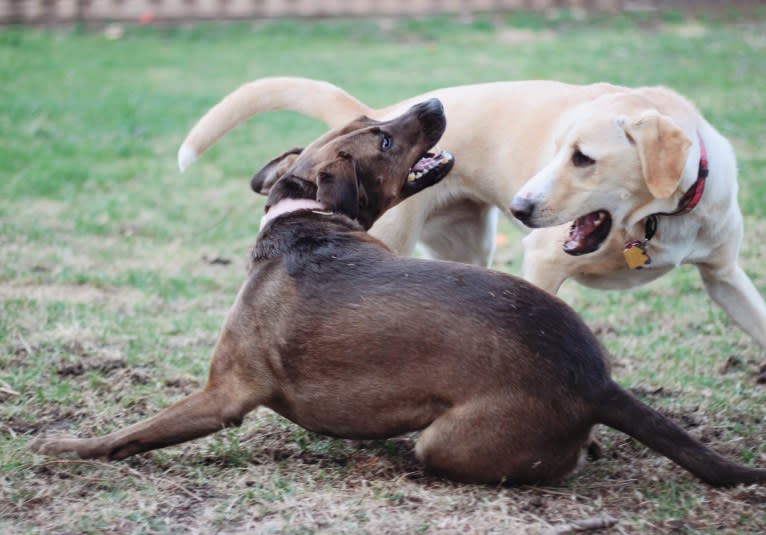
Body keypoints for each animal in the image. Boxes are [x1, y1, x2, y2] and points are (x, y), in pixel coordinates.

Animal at [31, 98, 766, 488]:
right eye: (381, 134)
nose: (436, 105)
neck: (302, 221)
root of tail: (597, 380)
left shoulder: (224, 393)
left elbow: (127, 436)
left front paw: (66, 450)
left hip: (447, 440)